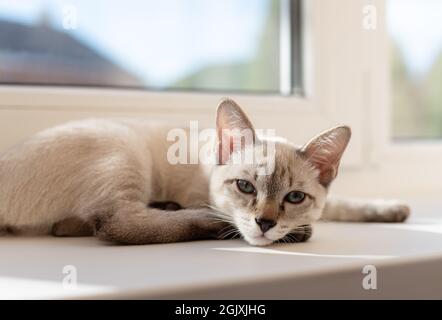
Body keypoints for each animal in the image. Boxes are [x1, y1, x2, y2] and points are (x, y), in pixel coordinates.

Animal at [0, 97, 410, 245]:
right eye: (245, 187)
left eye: (294, 197)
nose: (265, 223)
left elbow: (340, 204)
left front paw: (391, 210)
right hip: (124, 148)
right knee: (115, 223)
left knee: (78, 224)